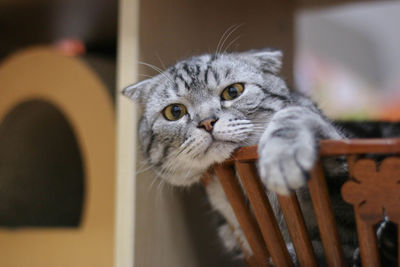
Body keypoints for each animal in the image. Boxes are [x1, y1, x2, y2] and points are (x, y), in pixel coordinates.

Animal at [122, 49, 396, 266]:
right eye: (175, 112)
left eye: (233, 91)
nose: (207, 122)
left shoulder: (354, 186)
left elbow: (294, 114)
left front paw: (281, 157)